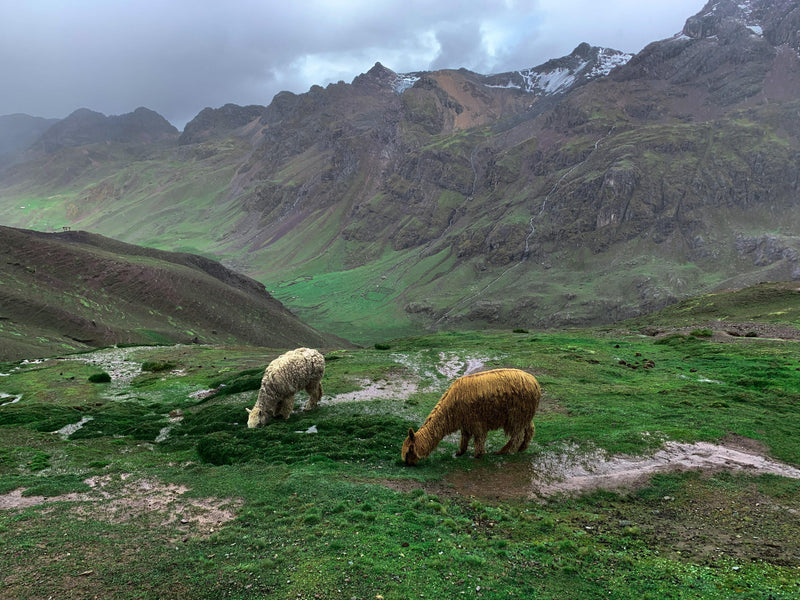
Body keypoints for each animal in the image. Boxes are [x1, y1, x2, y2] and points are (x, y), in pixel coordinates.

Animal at [402, 368, 540, 465]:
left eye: (409, 451)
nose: (408, 464)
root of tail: (535, 383)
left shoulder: (476, 421)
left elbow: (479, 438)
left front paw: (477, 455)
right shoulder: (466, 422)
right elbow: (465, 438)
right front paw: (460, 452)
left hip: (515, 415)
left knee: (517, 435)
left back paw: (503, 451)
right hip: (524, 414)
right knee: (530, 429)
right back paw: (522, 448)